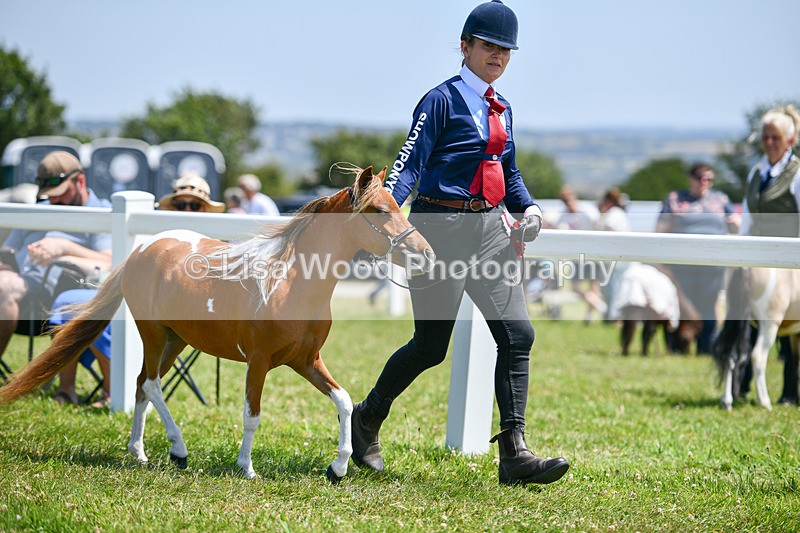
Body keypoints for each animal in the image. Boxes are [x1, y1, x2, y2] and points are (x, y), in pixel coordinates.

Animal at [0, 166, 436, 482]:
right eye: (380, 211)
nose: (426, 254)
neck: (291, 281)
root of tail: (142, 249)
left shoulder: (306, 360)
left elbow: (343, 401)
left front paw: (339, 467)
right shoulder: (259, 361)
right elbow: (252, 414)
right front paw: (247, 468)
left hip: (176, 340)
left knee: (141, 385)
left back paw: (139, 452)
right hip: (153, 333)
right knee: (153, 385)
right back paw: (177, 450)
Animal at [713, 267, 800, 410]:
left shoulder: (795, 334)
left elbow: (796, 363)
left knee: (730, 356)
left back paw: (727, 402)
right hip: (769, 324)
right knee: (758, 356)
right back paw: (764, 402)